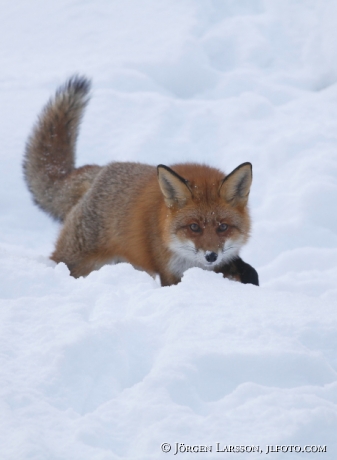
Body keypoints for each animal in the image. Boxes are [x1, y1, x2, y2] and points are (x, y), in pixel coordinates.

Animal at [23, 77, 258, 288]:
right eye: (194, 227)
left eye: (223, 227)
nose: (211, 256)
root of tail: (102, 170)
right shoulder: (169, 272)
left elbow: (249, 272)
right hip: (75, 261)